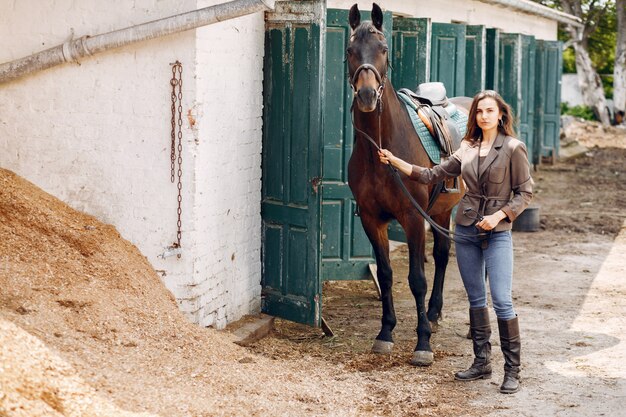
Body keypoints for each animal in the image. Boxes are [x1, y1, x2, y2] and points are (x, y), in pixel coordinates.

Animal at [346, 3, 468, 364]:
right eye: (350, 50)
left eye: (384, 49)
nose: (367, 95)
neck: (381, 151)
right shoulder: (372, 219)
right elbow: (386, 275)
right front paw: (385, 333)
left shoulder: (413, 218)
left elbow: (416, 279)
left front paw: (422, 343)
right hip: (439, 212)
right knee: (442, 254)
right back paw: (435, 313)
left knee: (442, 257)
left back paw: (436, 316)